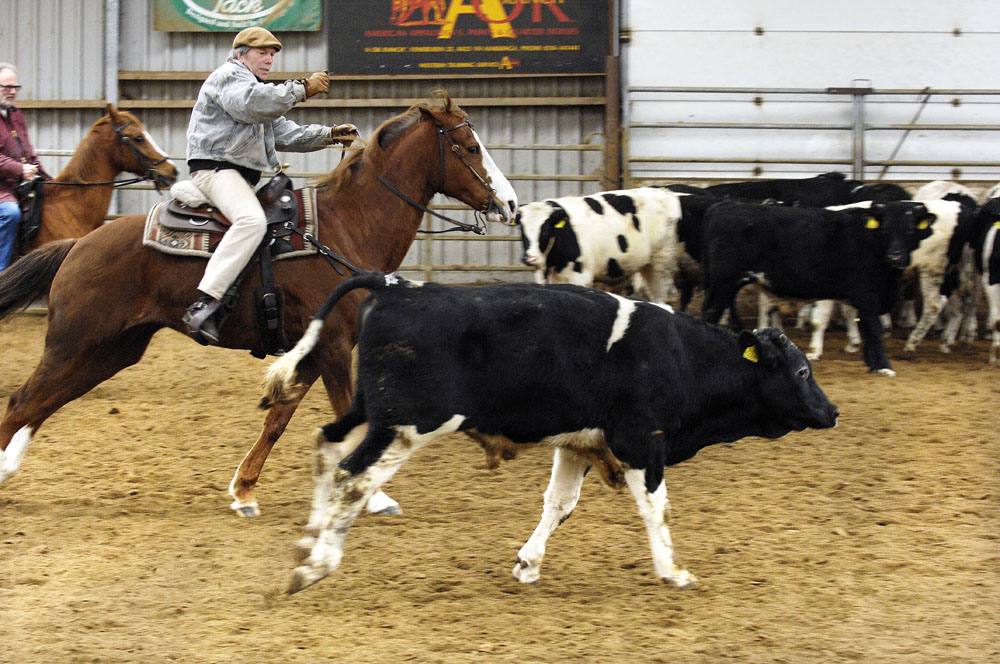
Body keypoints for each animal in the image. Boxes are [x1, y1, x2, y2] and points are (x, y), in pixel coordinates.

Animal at [262, 272, 840, 592]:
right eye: (802, 373)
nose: (832, 412)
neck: (680, 356)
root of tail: (396, 286)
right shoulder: (640, 443)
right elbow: (656, 508)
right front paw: (674, 572)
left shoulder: (579, 444)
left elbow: (559, 505)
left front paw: (527, 563)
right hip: (405, 425)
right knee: (353, 477)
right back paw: (315, 567)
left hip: (370, 410)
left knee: (326, 443)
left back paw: (309, 541)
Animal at [516, 188, 688, 304]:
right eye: (521, 230)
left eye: (545, 230)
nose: (530, 258)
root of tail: (665, 192)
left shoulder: (580, 277)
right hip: (647, 266)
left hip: (662, 262)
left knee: (661, 295)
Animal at [704, 200, 936, 374]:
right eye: (886, 230)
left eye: (909, 230)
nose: (895, 256)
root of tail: (724, 206)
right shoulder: (867, 296)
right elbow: (874, 330)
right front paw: (884, 367)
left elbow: (868, 331)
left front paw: (872, 364)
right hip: (723, 282)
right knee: (712, 313)